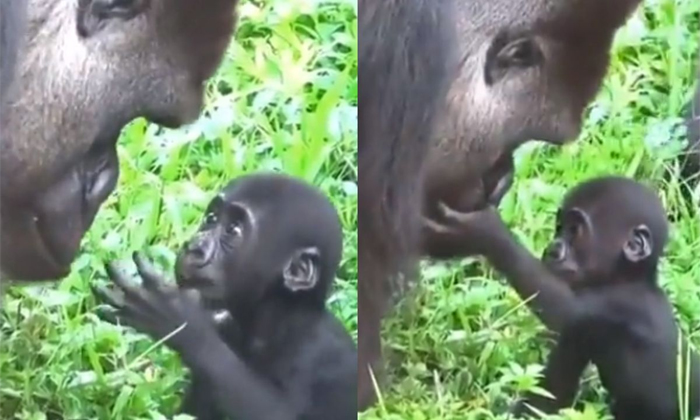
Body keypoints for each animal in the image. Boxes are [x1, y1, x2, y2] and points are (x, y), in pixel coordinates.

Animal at [432, 176, 700, 420]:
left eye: (575, 230)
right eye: (559, 228)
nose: (553, 248)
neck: (628, 278)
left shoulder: (615, 305)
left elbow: (567, 312)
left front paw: (483, 229)